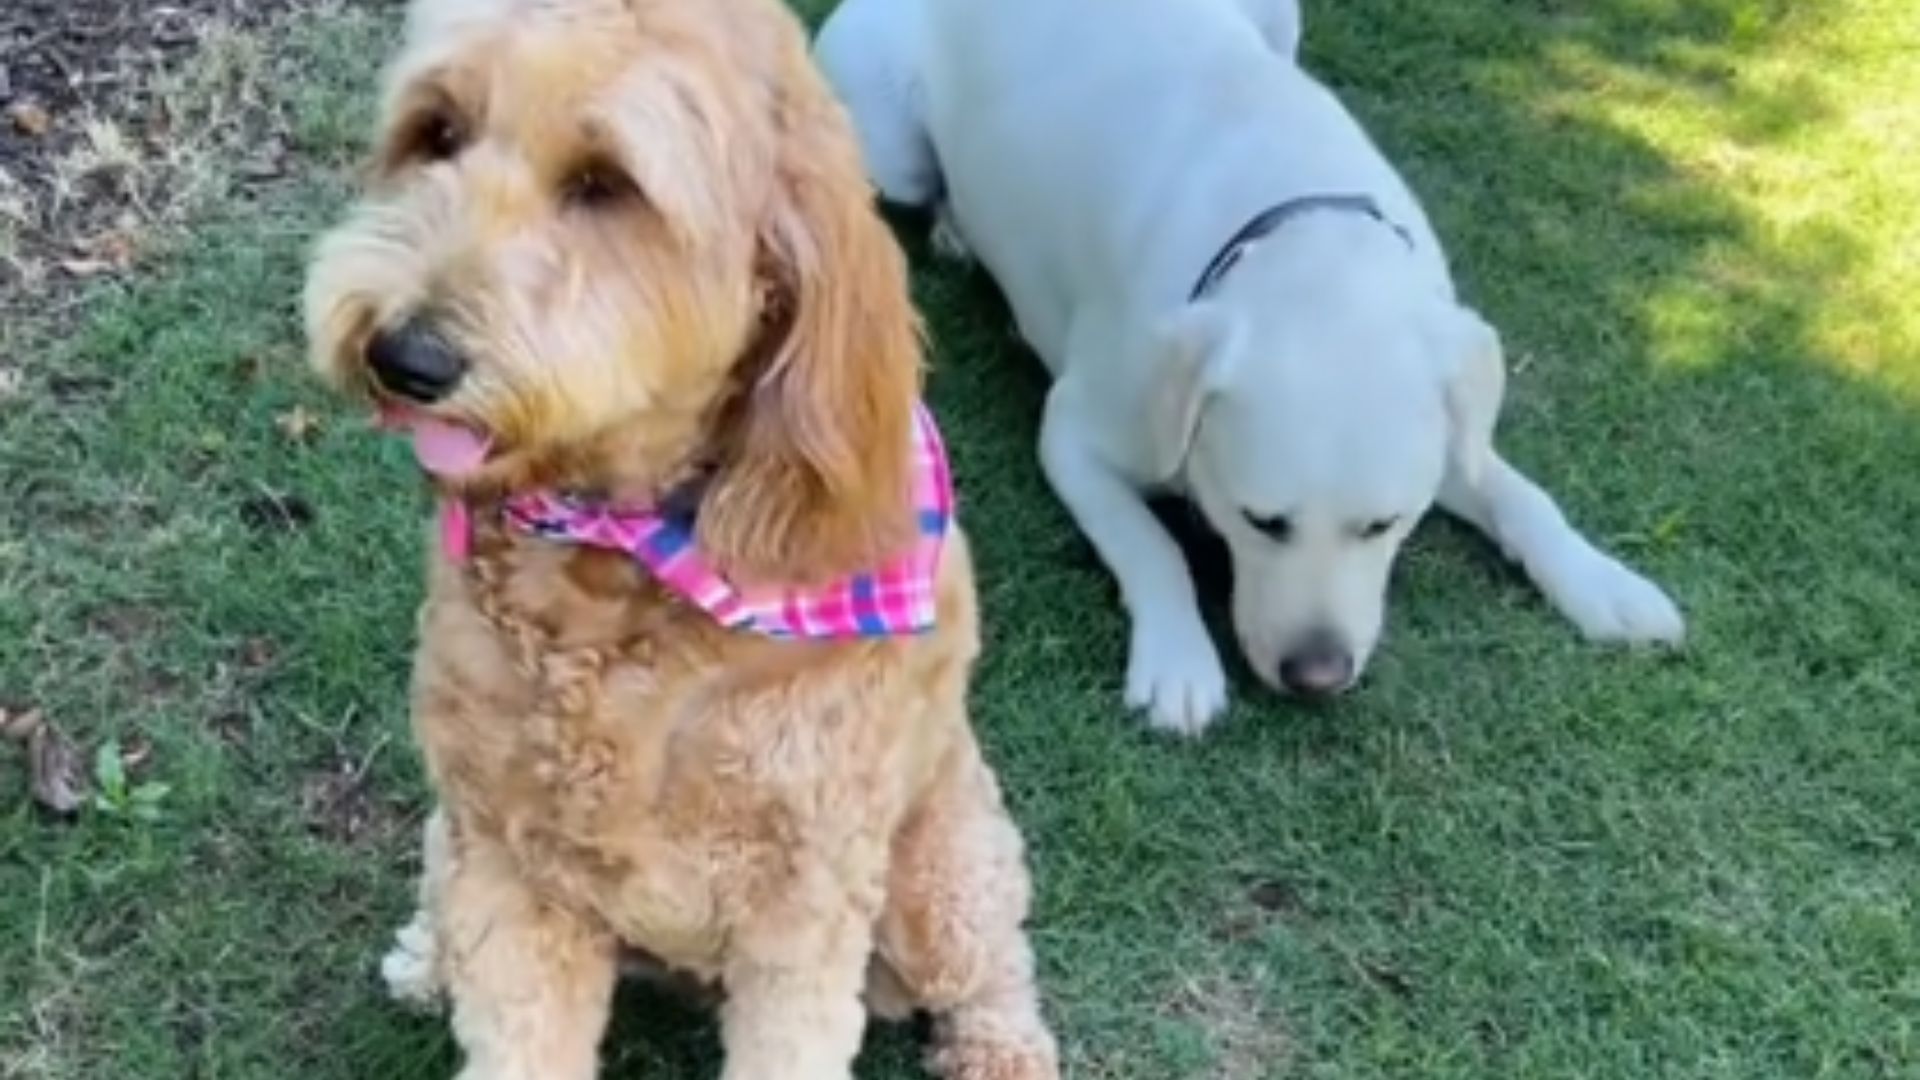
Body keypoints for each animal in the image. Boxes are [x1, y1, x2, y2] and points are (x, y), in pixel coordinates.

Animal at [295, 0, 1067, 1068]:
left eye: (605, 183)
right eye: (437, 131)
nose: (404, 355)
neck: (615, 559)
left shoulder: (803, 905)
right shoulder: (508, 863)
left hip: (935, 877)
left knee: (994, 960)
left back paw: (1002, 1052)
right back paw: (425, 955)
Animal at [810, 0, 1681, 730]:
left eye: (1383, 525)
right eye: (1261, 520)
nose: (1316, 676)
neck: (1308, 245)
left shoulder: (1449, 435)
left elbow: (1522, 495)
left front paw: (1604, 582)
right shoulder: (1076, 435)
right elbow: (1150, 546)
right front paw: (1178, 661)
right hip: (887, 136)